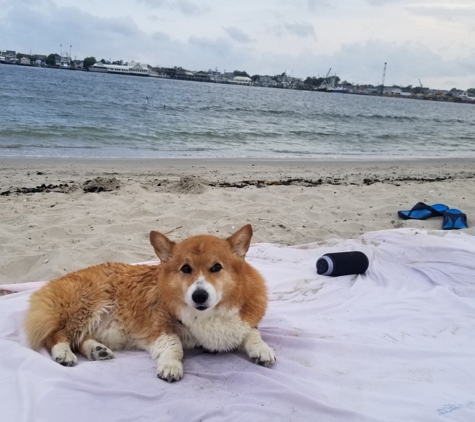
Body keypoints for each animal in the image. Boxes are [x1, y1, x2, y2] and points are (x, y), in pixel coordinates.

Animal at [24, 226, 278, 380]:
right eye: (186, 269)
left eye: (216, 267)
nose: (199, 296)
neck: (207, 314)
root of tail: (53, 281)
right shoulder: (159, 325)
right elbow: (173, 345)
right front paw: (171, 366)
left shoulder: (242, 321)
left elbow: (251, 332)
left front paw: (262, 349)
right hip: (88, 304)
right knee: (56, 335)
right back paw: (63, 354)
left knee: (81, 339)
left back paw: (98, 351)